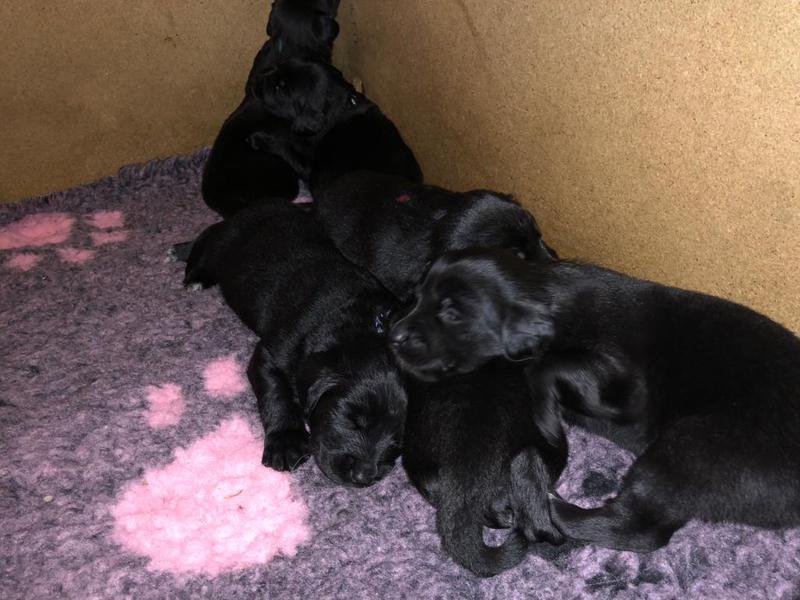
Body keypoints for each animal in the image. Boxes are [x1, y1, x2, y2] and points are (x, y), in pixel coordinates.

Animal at [180, 202, 406, 486]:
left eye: (398, 439)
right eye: (352, 419)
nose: (364, 475)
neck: (367, 327)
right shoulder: (272, 353)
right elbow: (278, 392)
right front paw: (286, 443)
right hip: (224, 242)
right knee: (206, 241)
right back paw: (193, 274)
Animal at [390, 247, 800, 551]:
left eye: (451, 313)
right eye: (418, 296)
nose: (393, 336)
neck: (545, 293)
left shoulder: (625, 383)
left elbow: (549, 365)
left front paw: (547, 417)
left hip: (690, 450)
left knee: (640, 530)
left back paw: (550, 504)